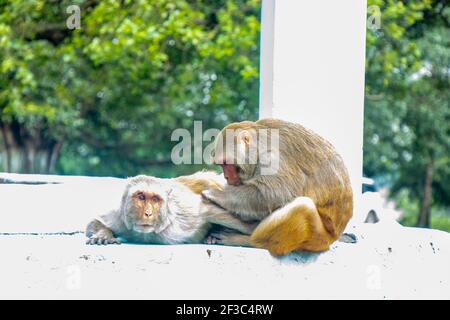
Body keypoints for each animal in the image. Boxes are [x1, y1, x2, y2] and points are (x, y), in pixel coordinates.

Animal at [85, 172, 255, 245]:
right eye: (141, 197)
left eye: (155, 199)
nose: (148, 213)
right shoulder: (120, 218)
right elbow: (93, 222)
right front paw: (103, 234)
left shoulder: (187, 214)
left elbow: (210, 210)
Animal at [202, 117, 354, 255]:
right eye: (221, 165)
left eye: (226, 164)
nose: (226, 177)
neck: (259, 146)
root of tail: (334, 236)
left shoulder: (271, 158)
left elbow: (275, 194)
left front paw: (218, 194)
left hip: (318, 237)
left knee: (302, 205)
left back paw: (248, 239)